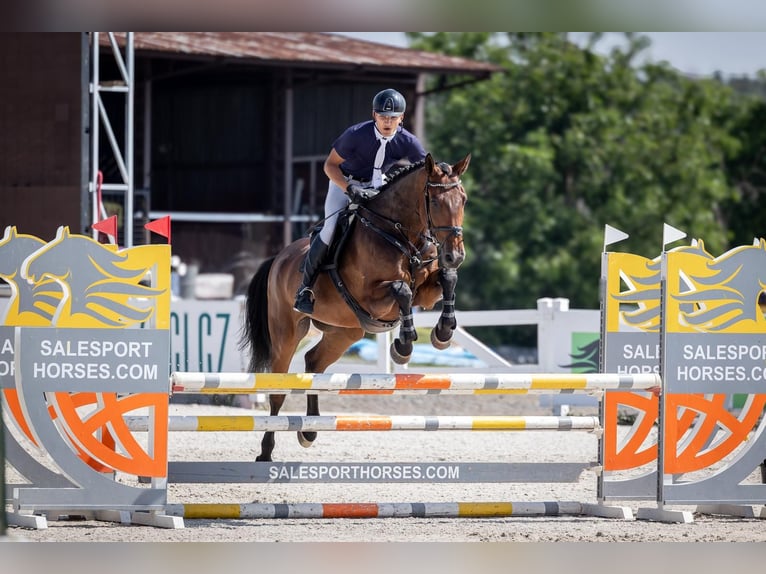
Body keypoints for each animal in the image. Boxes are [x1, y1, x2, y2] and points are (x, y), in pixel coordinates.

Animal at [242, 151, 468, 462]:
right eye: (434, 202)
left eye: (464, 199)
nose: (455, 255)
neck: (401, 235)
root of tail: (278, 258)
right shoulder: (372, 298)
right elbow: (402, 290)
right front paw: (403, 346)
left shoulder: (426, 292)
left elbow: (447, 278)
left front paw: (442, 333)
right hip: (287, 332)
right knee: (278, 389)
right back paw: (266, 452)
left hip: (345, 331)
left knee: (314, 362)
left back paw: (309, 431)